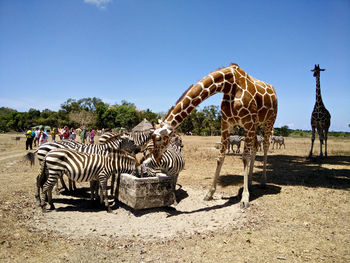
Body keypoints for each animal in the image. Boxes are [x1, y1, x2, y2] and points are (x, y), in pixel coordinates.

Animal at [152, 64, 278, 208]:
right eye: (151, 136)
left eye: (158, 138)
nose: (156, 157)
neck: (228, 85)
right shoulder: (226, 123)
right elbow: (220, 157)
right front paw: (209, 193)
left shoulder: (248, 123)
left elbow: (244, 158)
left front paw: (245, 198)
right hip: (256, 125)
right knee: (256, 147)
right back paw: (251, 182)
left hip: (269, 121)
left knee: (266, 145)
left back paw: (263, 182)